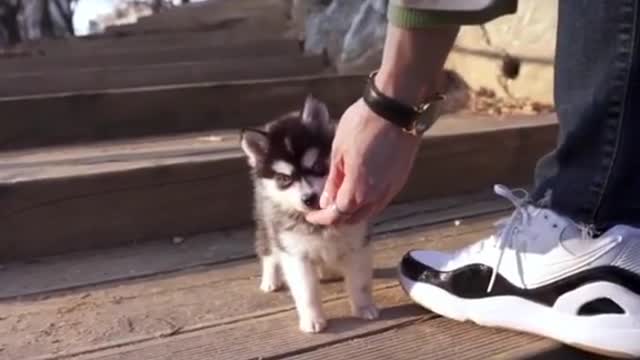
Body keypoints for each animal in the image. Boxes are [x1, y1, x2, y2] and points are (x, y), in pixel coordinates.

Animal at [240, 95, 380, 332]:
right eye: (284, 179)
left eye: (317, 166)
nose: (309, 198)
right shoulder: (295, 254)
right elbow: (306, 291)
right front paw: (312, 319)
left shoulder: (357, 244)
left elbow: (359, 282)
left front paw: (364, 307)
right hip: (265, 223)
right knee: (268, 251)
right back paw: (270, 279)